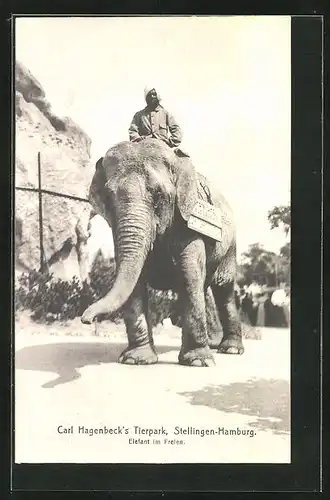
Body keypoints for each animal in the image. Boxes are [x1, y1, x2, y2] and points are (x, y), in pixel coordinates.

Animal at [81, 139, 244, 366]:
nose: (86, 319)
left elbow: (189, 276)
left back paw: (230, 349)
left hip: (230, 246)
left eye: (158, 195)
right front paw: (136, 359)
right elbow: (135, 282)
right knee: (205, 288)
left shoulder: (187, 220)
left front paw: (197, 361)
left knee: (223, 289)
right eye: (108, 197)